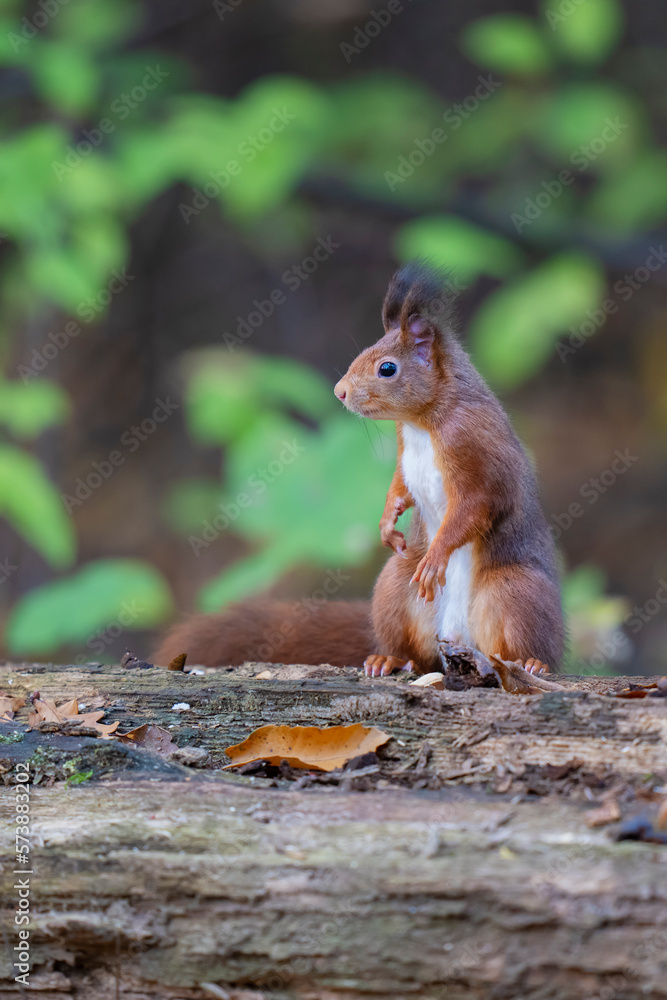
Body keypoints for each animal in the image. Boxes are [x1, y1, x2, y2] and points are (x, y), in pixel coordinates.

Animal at [153, 262, 563, 677]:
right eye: (365, 350)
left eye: (387, 368)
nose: (339, 392)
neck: (422, 422)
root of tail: (458, 639)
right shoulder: (403, 450)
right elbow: (400, 487)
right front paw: (386, 523)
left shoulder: (475, 450)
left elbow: (476, 506)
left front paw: (436, 556)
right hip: (394, 588)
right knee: (416, 654)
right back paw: (388, 658)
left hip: (515, 592)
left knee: (524, 643)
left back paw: (531, 663)